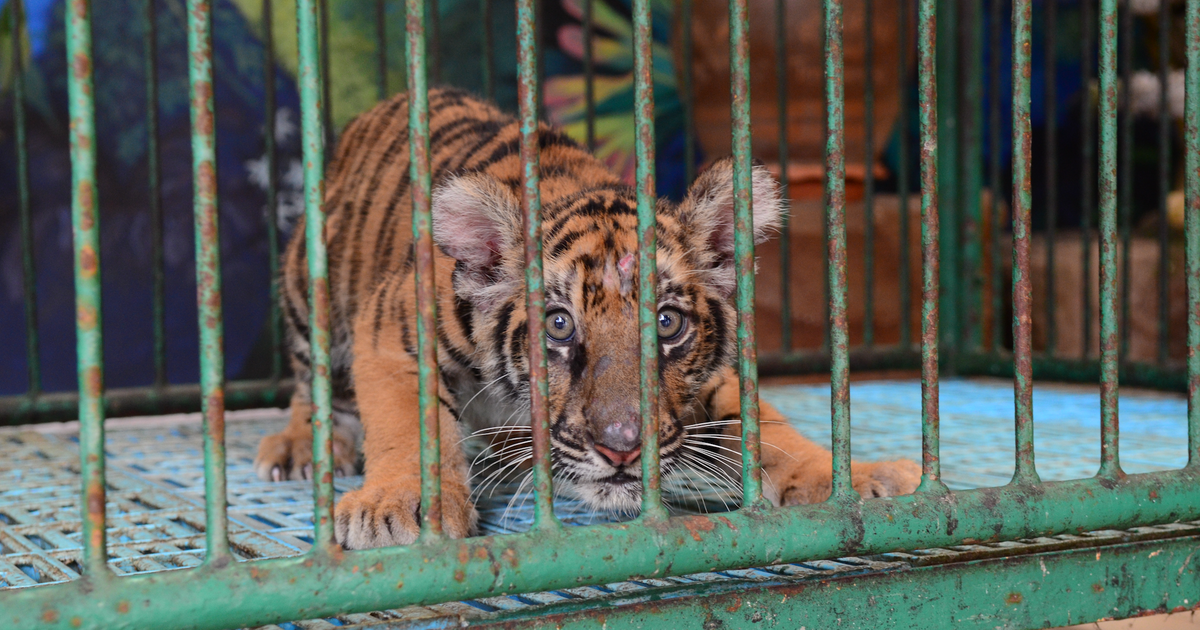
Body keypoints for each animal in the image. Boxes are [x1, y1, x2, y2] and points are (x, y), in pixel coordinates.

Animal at [253, 87, 922, 549]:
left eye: (666, 324)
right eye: (558, 325)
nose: (622, 451)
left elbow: (769, 427)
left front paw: (857, 477)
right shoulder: (393, 326)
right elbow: (408, 421)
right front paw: (397, 505)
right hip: (306, 290)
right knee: (312, 384)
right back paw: (298, 446)